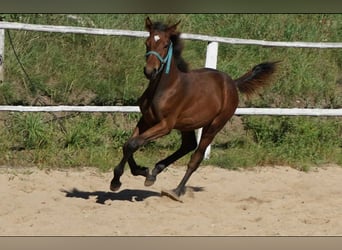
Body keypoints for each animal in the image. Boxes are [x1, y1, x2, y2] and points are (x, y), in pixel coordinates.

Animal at [109, 17, 278, 201]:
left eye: (166, 45)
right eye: (147, 43)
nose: (149, 71)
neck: (165, 88)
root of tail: (232, 83)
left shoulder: (165, 125)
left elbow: (133, 143)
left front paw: (121, 180)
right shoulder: (146, 119)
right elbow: (129, 144)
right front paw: (139, 173)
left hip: (214, 126)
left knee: (196, 157)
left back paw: (176, 191)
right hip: (187, 124)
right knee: (188, 145)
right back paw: (155, 172)